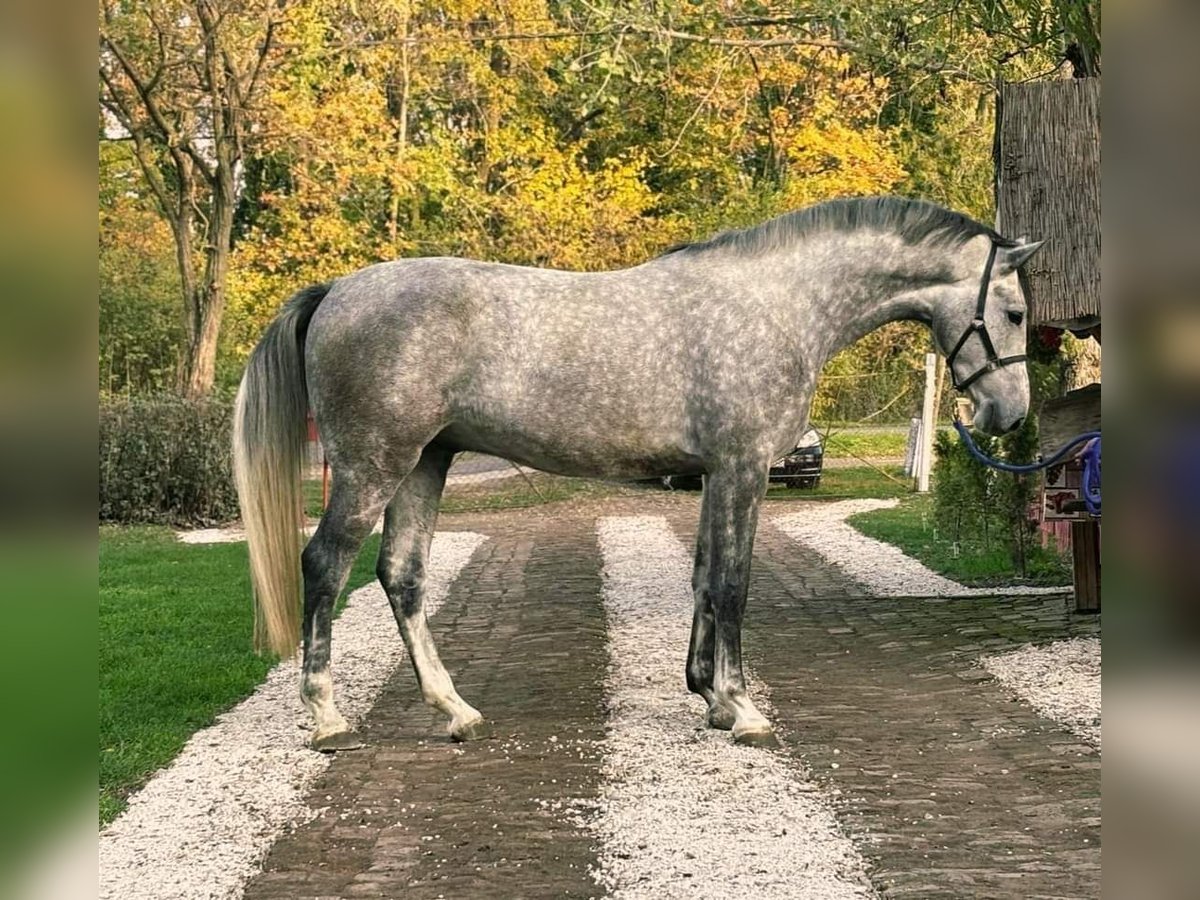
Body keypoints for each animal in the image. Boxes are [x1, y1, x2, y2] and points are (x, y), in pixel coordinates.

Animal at [234, 199, 1041, 753]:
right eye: (1013, 311)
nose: (1008, 413)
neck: (778, 305)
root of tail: (336, 290)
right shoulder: (744, 467)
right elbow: (733, 584)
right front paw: (744, 710)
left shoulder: (718, 474)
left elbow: (705, 578)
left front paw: (709, 696)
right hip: (374, 465)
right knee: (325, 565)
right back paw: (326, 717)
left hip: (423, 463)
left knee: (401, 574)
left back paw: (454, 710)